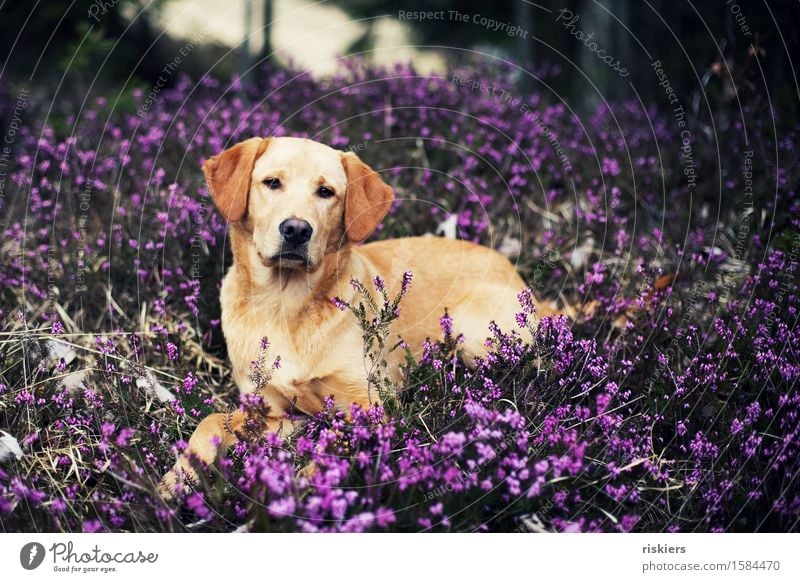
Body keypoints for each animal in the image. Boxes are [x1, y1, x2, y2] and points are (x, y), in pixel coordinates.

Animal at [158, 137, 564, 498]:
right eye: (272, 182)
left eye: (326, 192)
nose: (296, 230)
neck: (286, 305)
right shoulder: (273, 409)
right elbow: (211, 420)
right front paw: (179, 477)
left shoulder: (368, 405)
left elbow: (340, 437)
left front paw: (313, 476)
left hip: (478, 335)